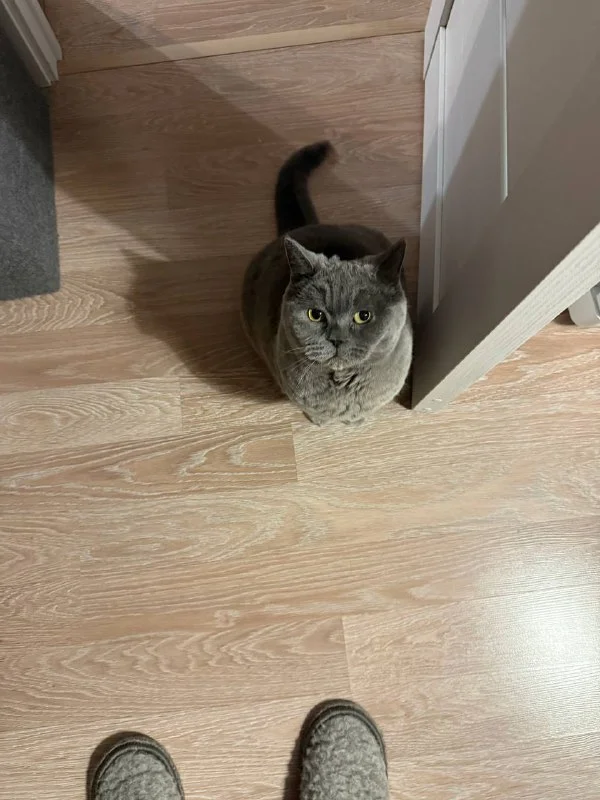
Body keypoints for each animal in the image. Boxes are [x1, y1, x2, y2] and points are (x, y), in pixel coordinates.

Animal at [241, 141, 413, 425]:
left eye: (363, 316)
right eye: (315, 314)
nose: (337, 340)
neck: (343, 389)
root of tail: (308, 226)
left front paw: (355, 423)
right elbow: (317, 415)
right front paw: (321, 423)